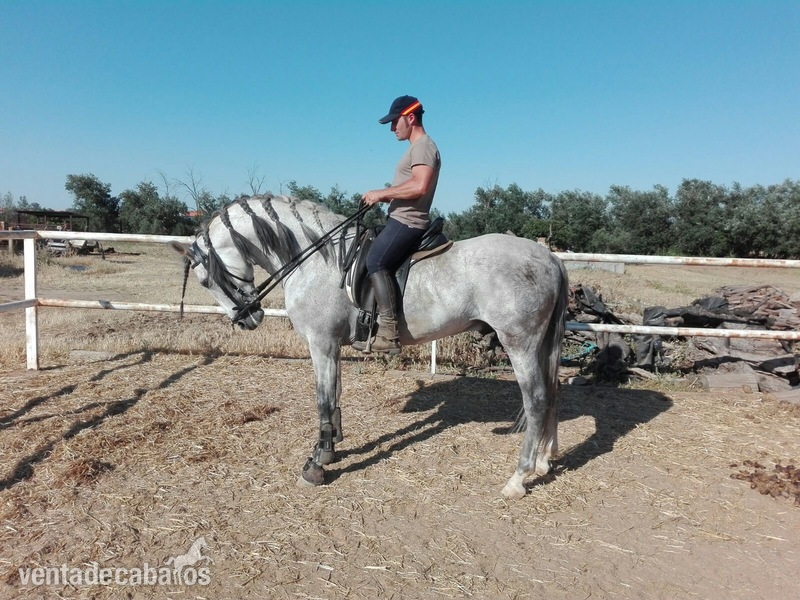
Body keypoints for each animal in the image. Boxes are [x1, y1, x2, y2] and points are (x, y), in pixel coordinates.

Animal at [171, 194, 568, 500]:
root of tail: (550, 259)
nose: (245, 319)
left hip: (519, 343)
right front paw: (329, 450)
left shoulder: (321, 343)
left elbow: (323, 400)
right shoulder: (332, 346)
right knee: (552, 393)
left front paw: (316, 464)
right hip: (540, 344)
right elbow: (335, 396)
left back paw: (518, 478)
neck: (317, 259)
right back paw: (545, 460)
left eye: (204, 280)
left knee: (536, 400)